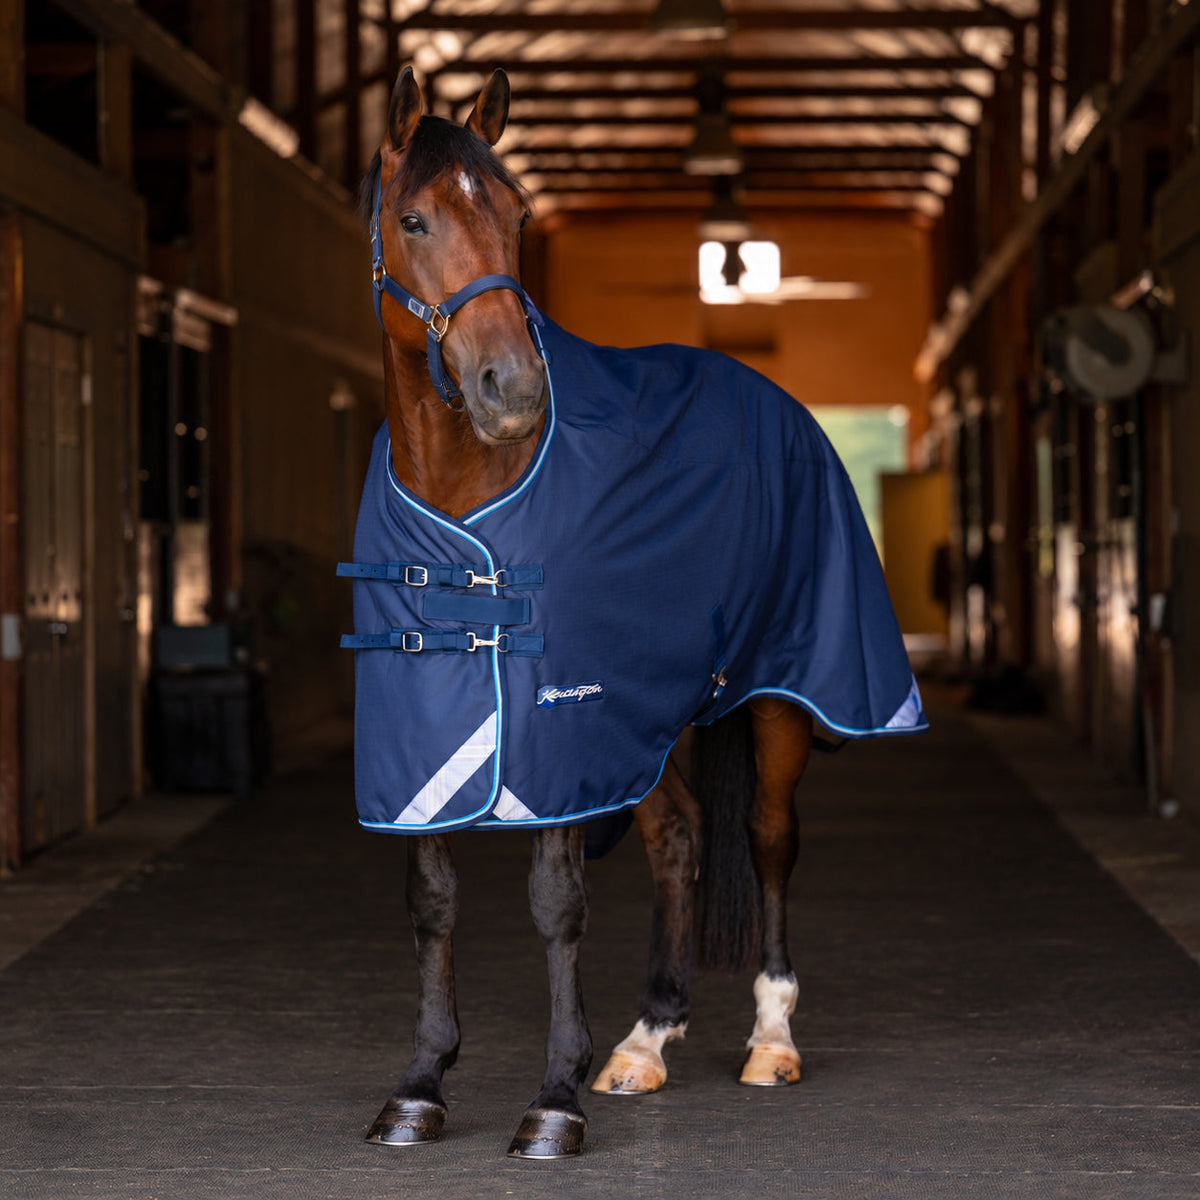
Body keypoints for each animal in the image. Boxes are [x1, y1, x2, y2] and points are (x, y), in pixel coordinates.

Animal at [339, 66, 926, 1159]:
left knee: (769, 837)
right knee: (682, 837)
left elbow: (555, 903)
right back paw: (647, 1038)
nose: (513, 390)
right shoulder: (427, 721)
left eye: (516, 217)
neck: (467, 497)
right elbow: (431, 901)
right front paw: (420, 1086)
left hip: (776, 696)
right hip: (644, 721)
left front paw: (552, 1102)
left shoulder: (557, 733)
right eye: (414, 218)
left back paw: (770, 1039)